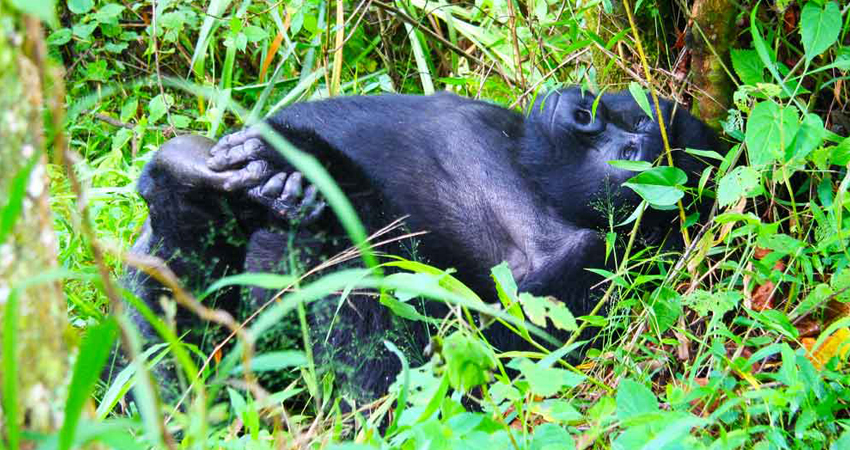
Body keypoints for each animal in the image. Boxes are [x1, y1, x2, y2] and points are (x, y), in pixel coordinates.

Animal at [127, 88, 716, 400]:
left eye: (634, 149)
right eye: (626, 112)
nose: (583, 113)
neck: (539, 183)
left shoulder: (597, 264)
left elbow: (430, 372)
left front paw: (324, 182)